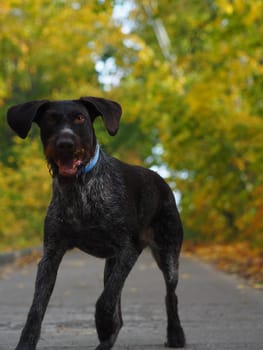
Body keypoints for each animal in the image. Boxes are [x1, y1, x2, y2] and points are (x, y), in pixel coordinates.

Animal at [6, 96, 186, 350]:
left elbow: (105, 301)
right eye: (50, 119)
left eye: (80, 118)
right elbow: (36, 309)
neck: (79, 189)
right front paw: (26, 343)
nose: (65, 143)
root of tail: (161, 181)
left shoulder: (129, 250)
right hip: (112, 263)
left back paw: (175, 334)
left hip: (167, 254)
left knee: (170, 294)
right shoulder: (50, 256)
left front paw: (102, 323)